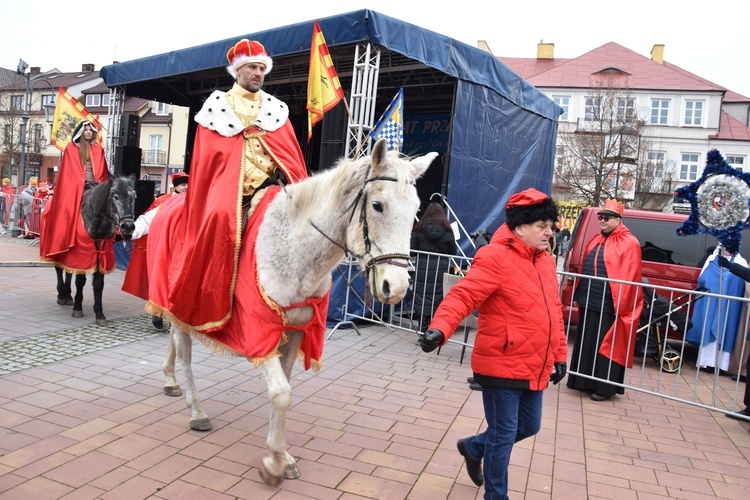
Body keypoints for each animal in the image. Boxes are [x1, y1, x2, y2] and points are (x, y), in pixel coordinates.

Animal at [162, 139, 438, 486]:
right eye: (377, 205)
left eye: (415, 212)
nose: (397, 287)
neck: (294, 253)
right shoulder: (260, 332)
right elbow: (281, 393)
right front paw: (274, 464)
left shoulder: (294, 331)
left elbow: (284, 387)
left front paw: (282, 454)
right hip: (182, 306)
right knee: (183, 350)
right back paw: (196, 410)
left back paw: (170, 380)